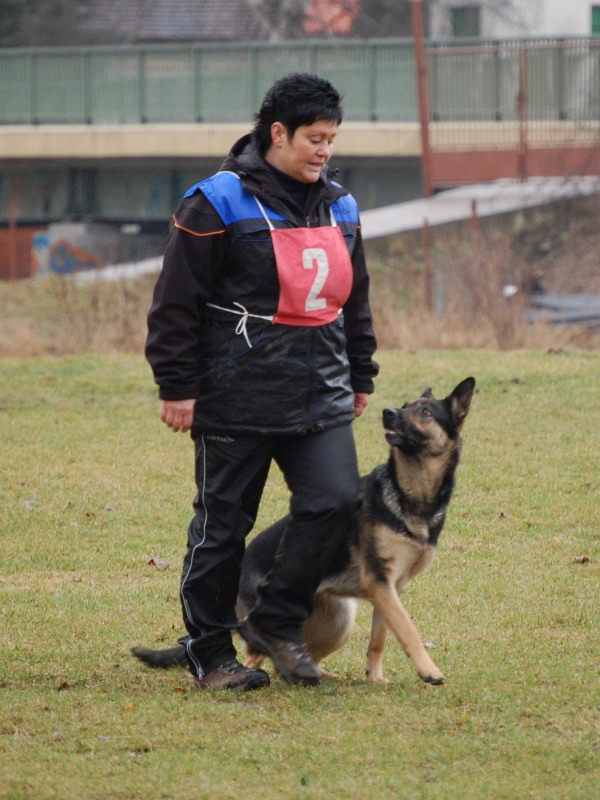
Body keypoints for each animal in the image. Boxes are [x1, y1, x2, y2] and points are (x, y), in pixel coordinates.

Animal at [134, 378, 476, 684]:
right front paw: (429, 670)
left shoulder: (391, 589)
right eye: (405, 407)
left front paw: (375, 679)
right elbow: (408, 629)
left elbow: (380, 639)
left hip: (338, 621)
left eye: (425, 411)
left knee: (293, 654)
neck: (411, 495)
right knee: (256, 653)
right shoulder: (380, 582)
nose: (389, 412)